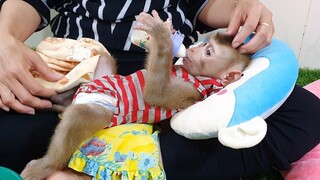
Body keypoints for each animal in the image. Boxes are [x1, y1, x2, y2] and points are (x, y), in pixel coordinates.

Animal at [21, 10, 251, 180]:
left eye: (209, 52)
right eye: (204, 45)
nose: (192, 51)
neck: (196, 75)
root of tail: (81, 94)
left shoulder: (193, 90)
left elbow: (156, 94)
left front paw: (160, 34)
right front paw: (164, 32)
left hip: (102, 110)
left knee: (78, 116)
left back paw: (45, 165)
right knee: (102, 57)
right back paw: (56, 97)